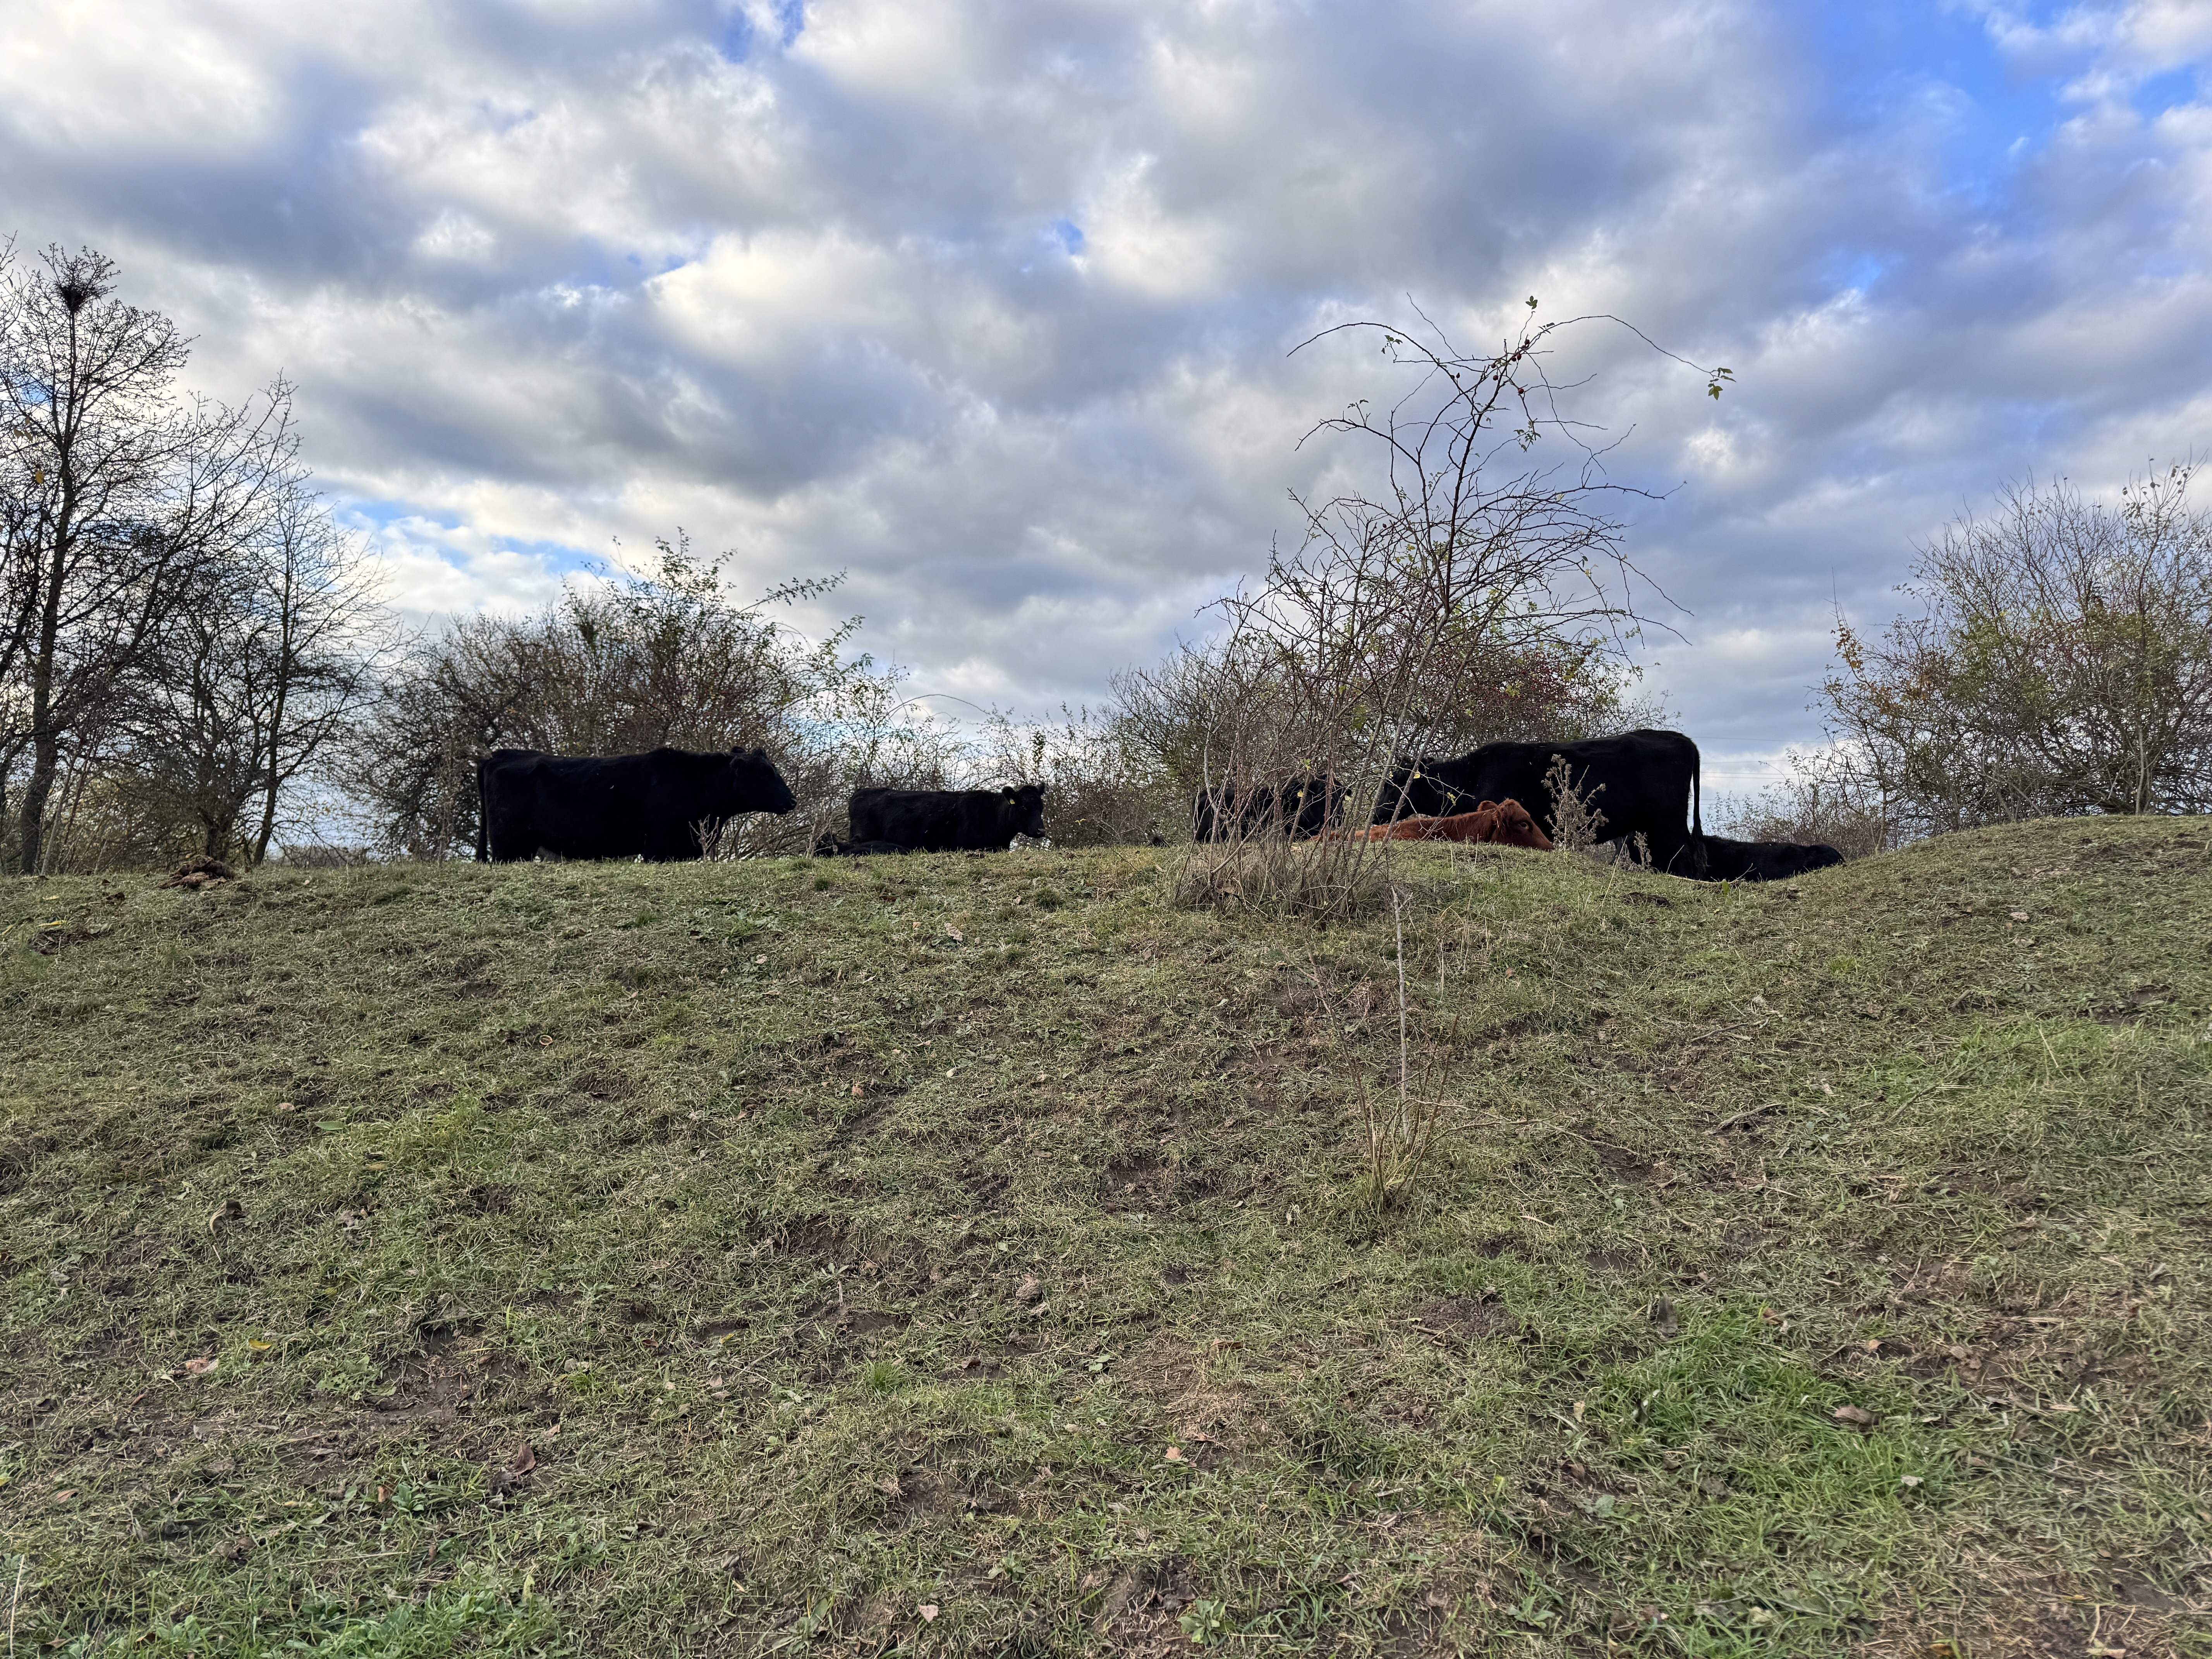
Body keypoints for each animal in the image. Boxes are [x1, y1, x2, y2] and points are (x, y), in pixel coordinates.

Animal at [1374, 729, 1702, 871]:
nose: (1375, 813)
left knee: (1684, 860)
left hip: (1667, 824)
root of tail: (1681, 739)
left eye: (1392, 784)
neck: (1469, 778)